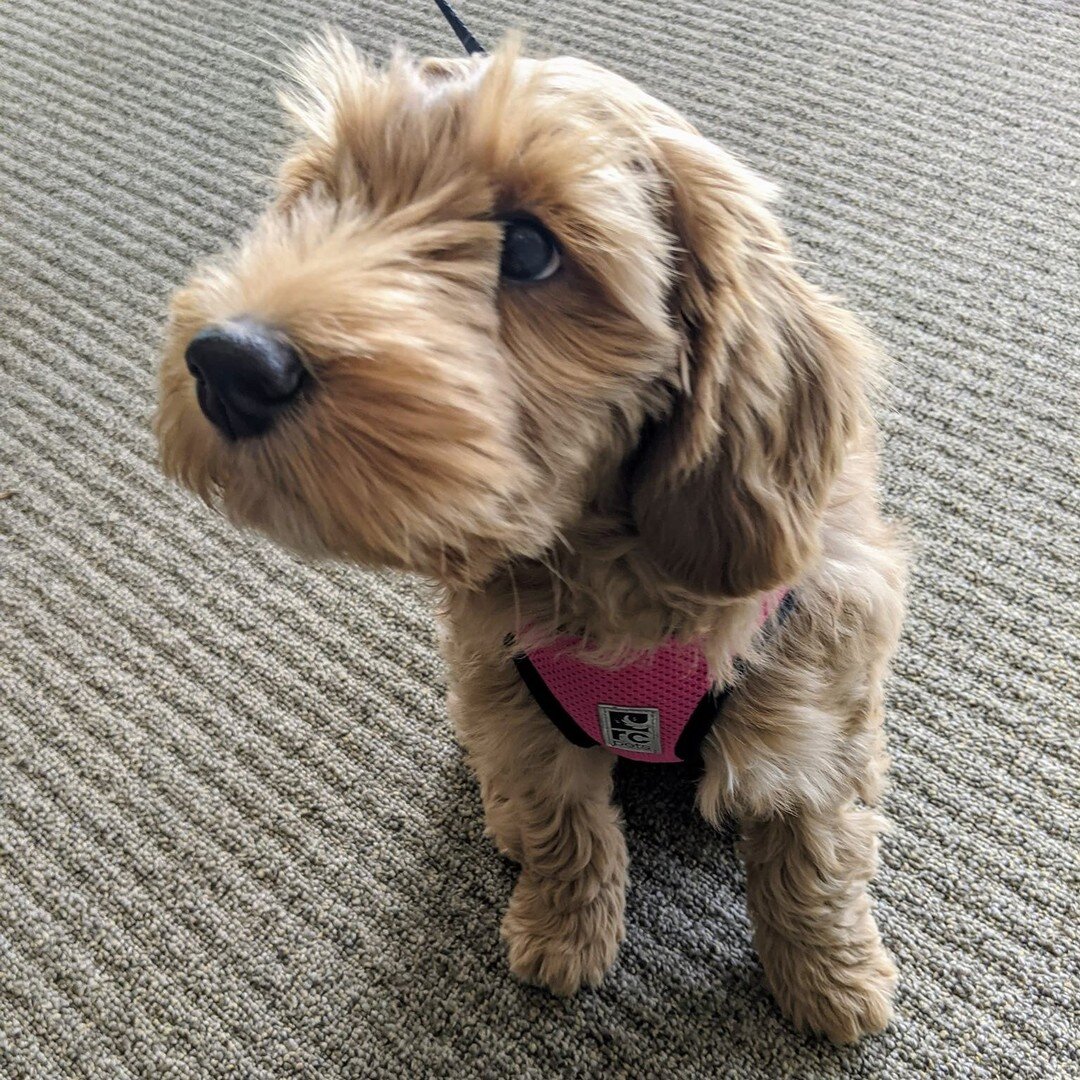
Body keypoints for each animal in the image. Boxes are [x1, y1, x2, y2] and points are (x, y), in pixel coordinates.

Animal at [154, 29, 902, 1045]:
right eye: (322, 198)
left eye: (530, 249)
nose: (229, 363)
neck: (606, 574)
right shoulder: (519, 705)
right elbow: (566, 828)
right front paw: (565, 932)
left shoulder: (814, 698)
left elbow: (815, 857)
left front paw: (830, 979)